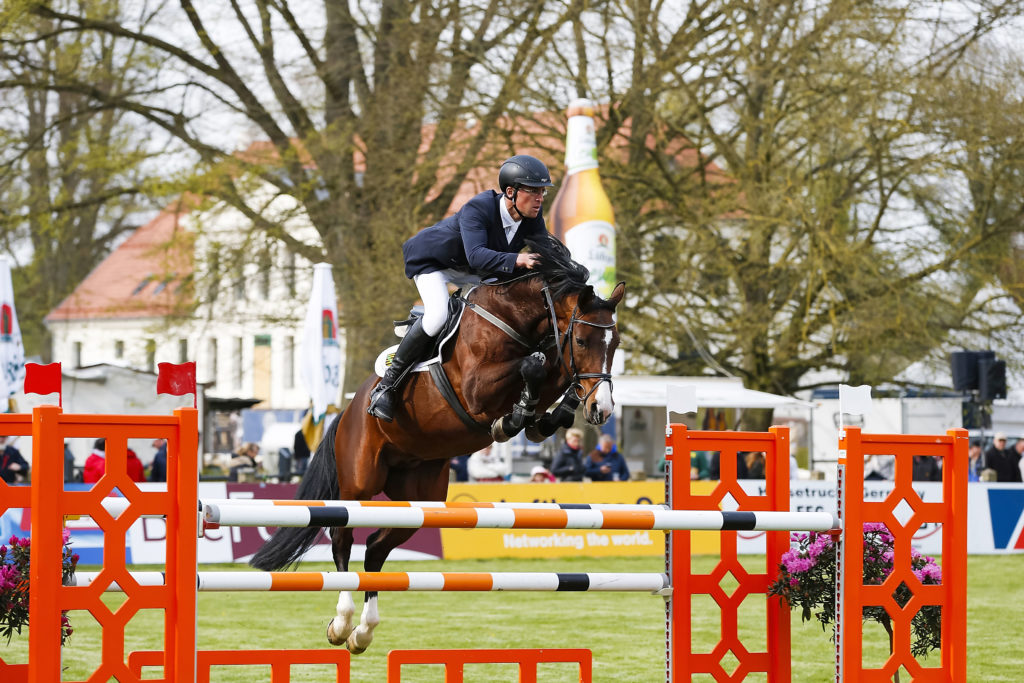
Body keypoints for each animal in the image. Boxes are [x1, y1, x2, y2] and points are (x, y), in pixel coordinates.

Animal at [253, 233, 622, 651]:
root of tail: (346, 413)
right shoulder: (478, 387)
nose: (602, 409)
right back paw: (342, 623)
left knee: (377, 547)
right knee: (342, 536)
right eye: (582, 339)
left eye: (615, 343)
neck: (517, 319)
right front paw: (513, 418)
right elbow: (536, 365)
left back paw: (363, 632)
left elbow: (552, 375)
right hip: (359, 481)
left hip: (421, 497)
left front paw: (544, 417)